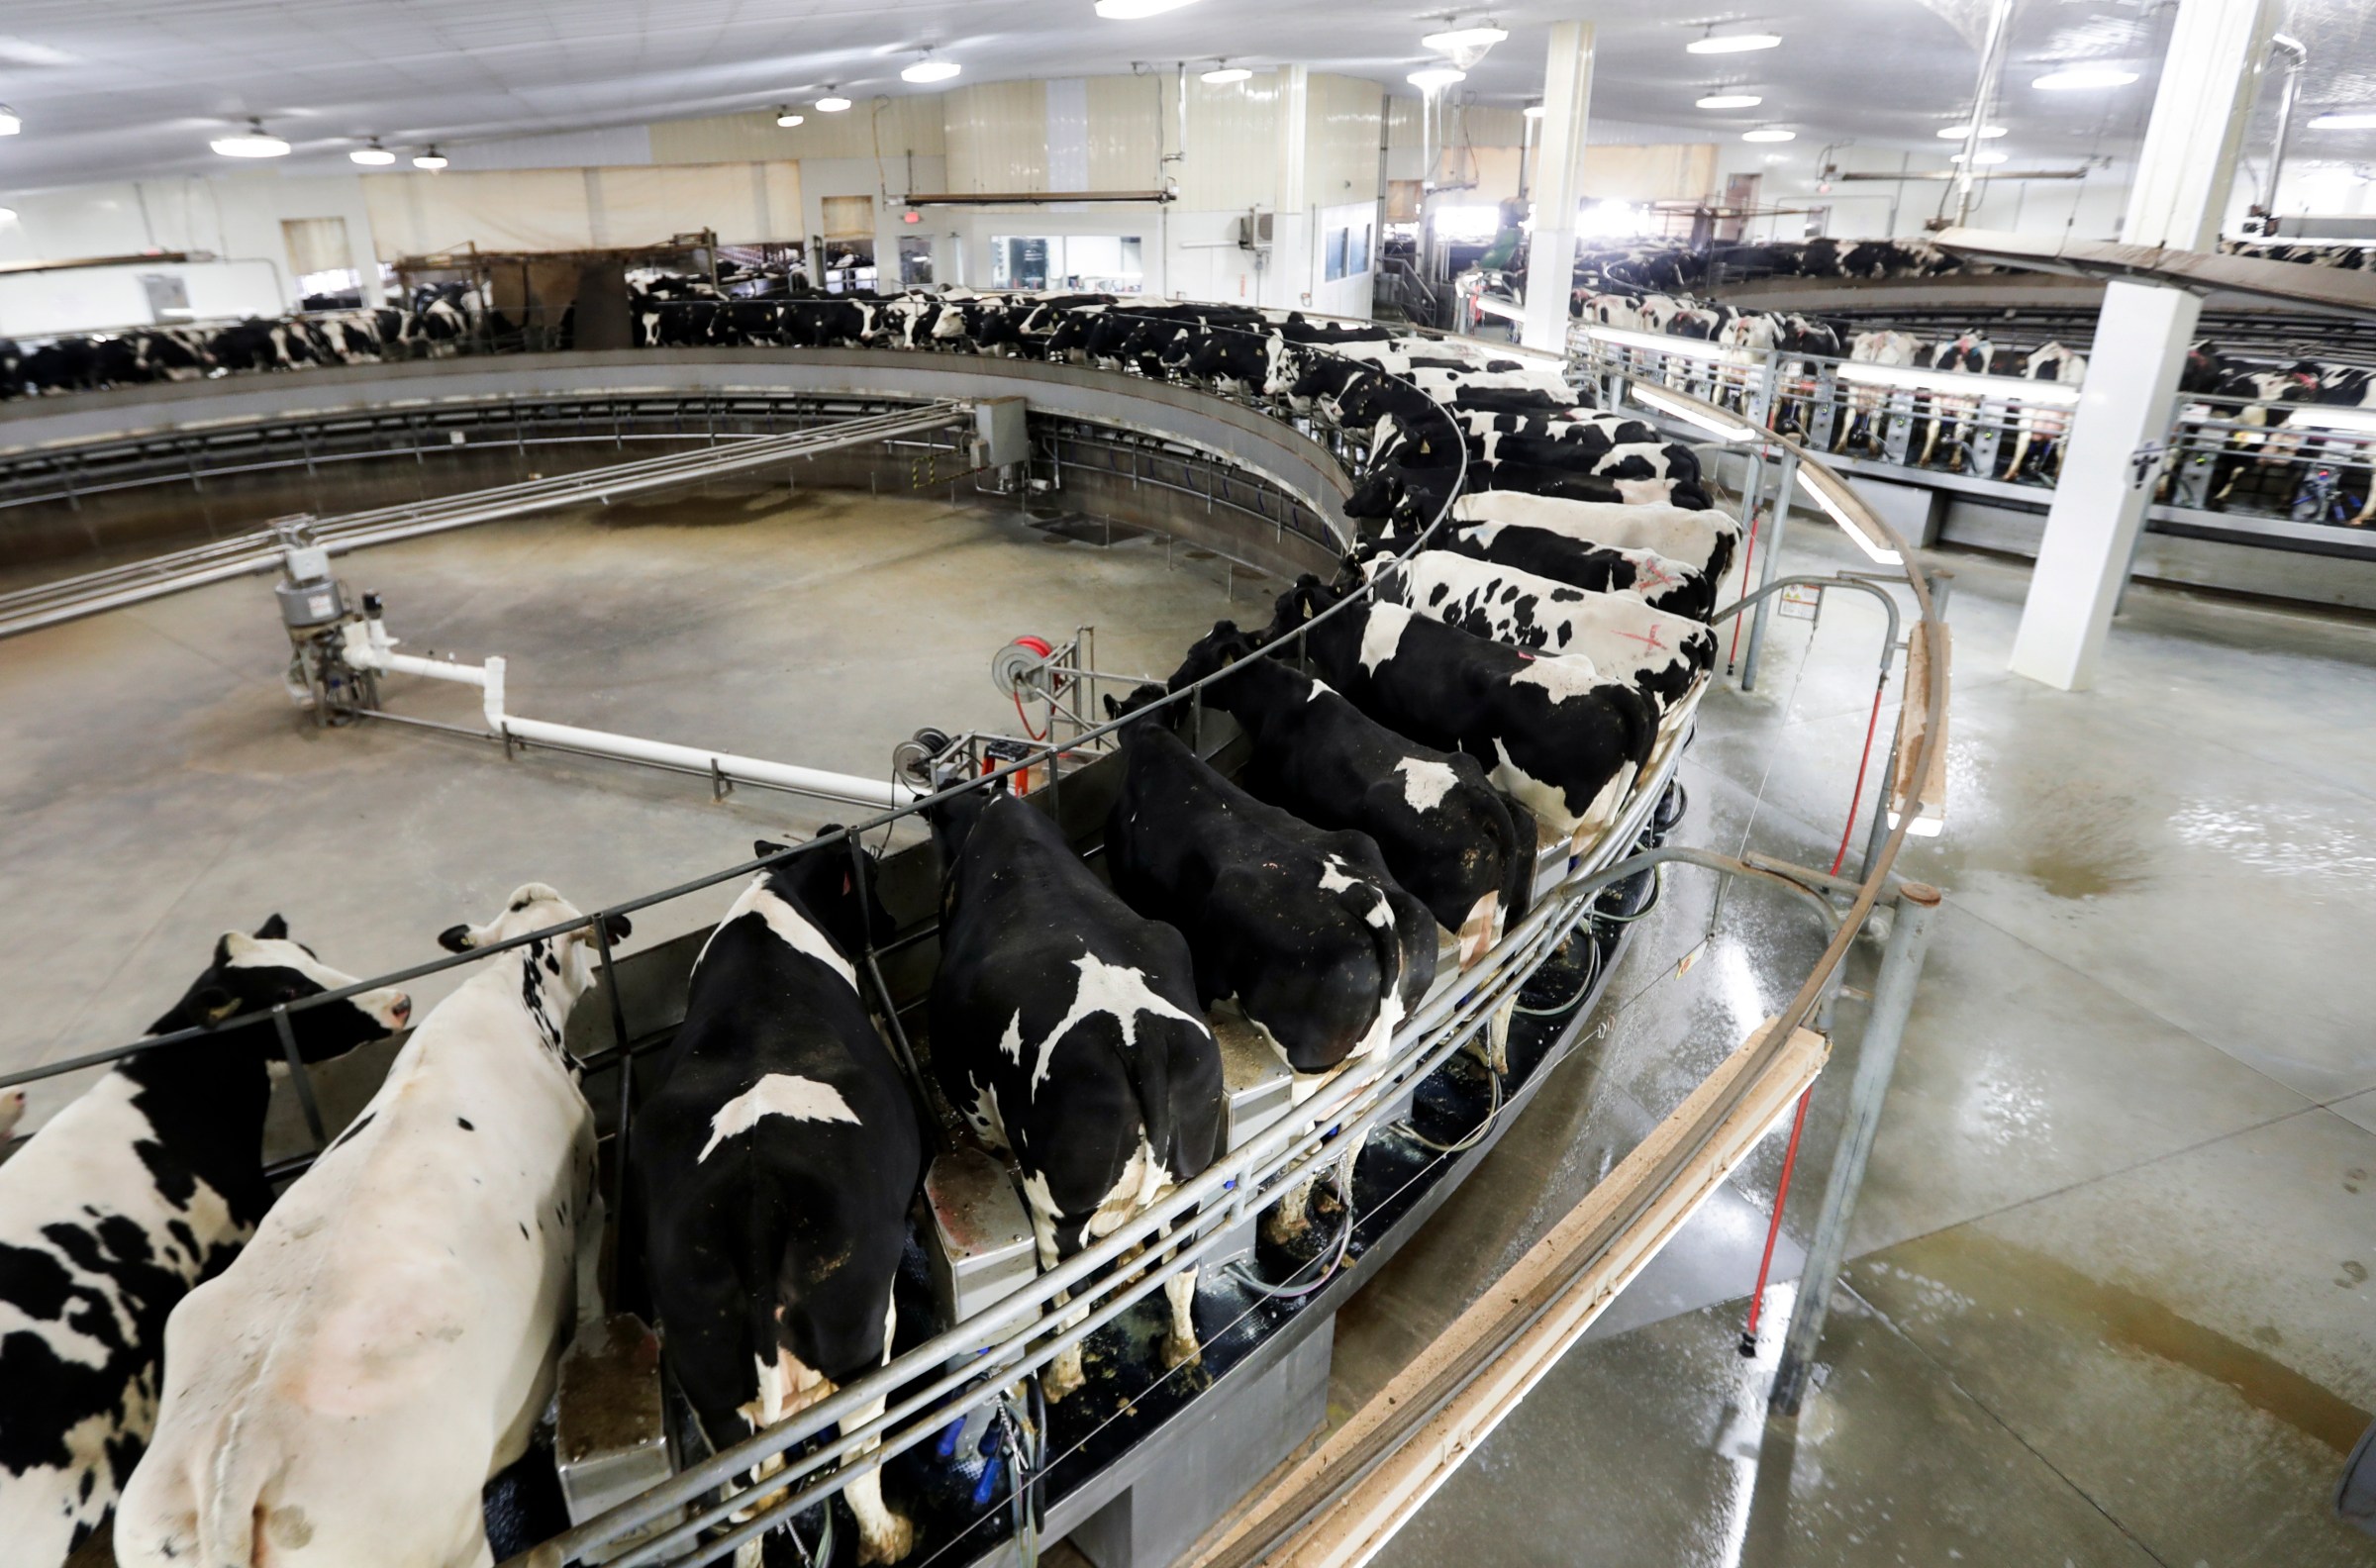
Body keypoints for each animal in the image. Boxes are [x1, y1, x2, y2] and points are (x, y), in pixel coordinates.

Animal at [637, 840, 922, 1558]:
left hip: (708, 1381)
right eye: (873, 875)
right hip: (863, 1340)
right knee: (857, 1467)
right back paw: (891, 1536)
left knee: (747, 1511)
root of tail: (755, 1204)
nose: (892, 918)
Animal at [927, 788, 1226, 1406]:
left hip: (1058, 1206)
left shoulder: (978, 1108)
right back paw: (1180, 1348)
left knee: (1071, 1299)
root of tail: (1139, 1039)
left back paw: (1063, 1378)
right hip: (1189, 1174)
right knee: (1182, 1268)